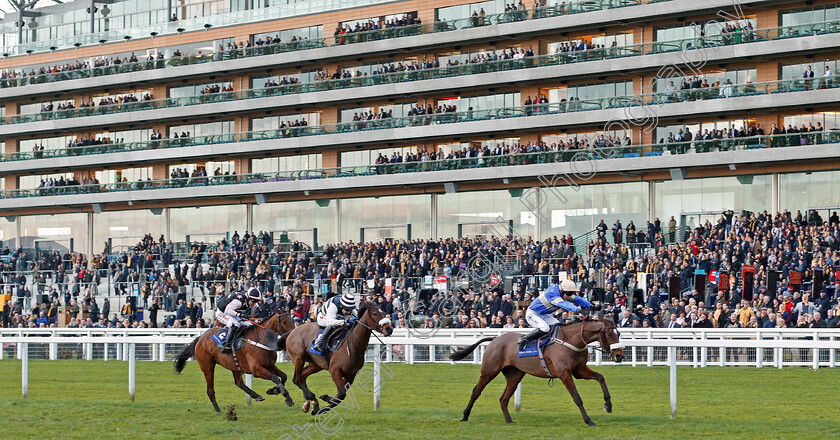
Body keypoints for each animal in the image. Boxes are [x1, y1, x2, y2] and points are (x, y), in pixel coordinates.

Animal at [452, 316, 624, 426]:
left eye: (619, 333)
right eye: (609, 333)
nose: (620, 356)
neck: (571, 340)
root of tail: (494, 339)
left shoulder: (579, 370)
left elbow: (600, 377)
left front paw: (608, 405)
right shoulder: (565, 374)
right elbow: (577, 398)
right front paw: (589, 420)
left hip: (515, 376)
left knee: (503, 399)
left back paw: (509, 421)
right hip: (489, 371)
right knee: (476, 391)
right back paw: (465, 415)